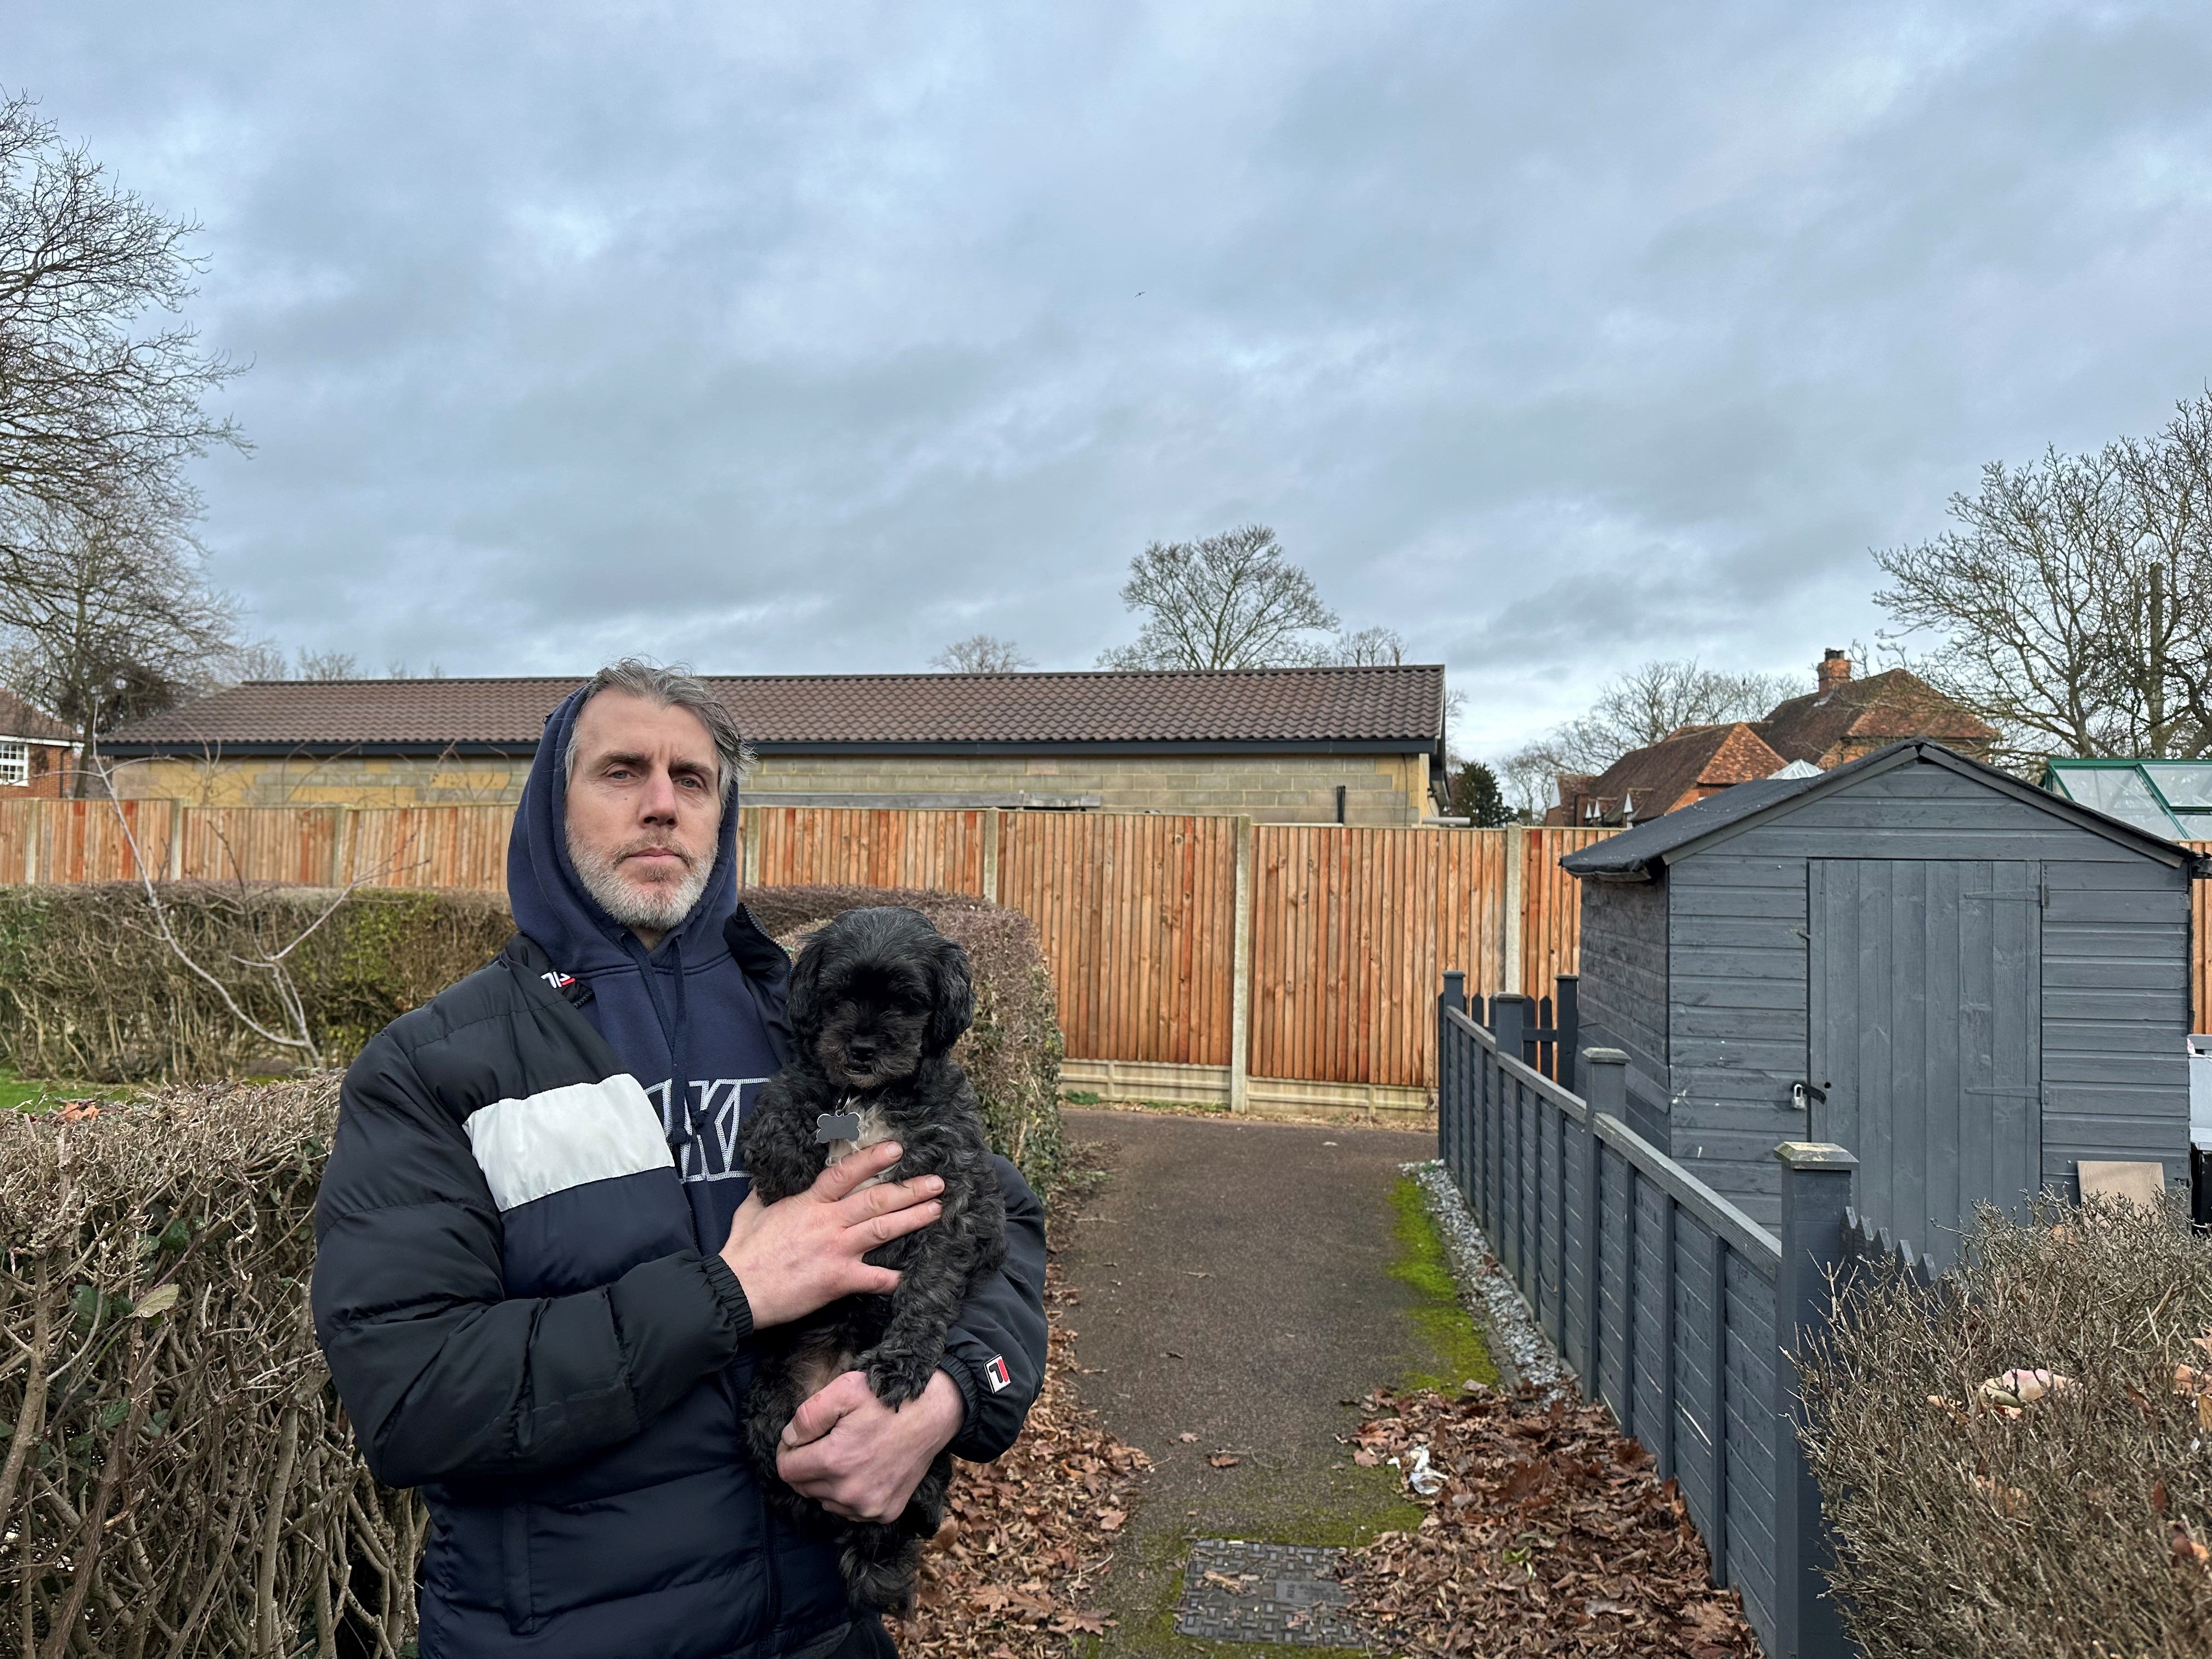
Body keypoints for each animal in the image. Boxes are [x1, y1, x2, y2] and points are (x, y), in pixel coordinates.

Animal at [747, 911, 1013, 1610]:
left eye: (905, 1001)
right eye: (839, 994)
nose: (862, 1049)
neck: (870, 1099)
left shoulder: (956, 1201)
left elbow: (928, 1288)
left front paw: (902, 1363)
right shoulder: (808, 1087)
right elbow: (787, 1093)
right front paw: (784, 1147)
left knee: (903, 1512)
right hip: (767, 1416)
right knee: (795, 1492)